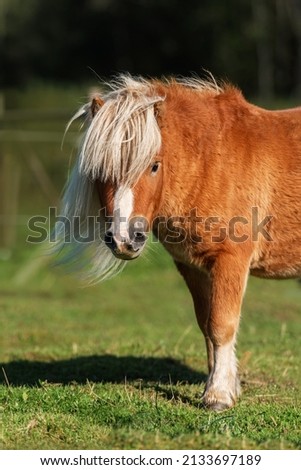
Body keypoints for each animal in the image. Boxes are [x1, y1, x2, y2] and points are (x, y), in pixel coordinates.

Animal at [55, 73, 300, 412]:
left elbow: (222, 325)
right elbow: (206, 326)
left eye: (154, 165)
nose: (124, 239)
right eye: (100, 171)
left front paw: (218, 395)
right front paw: (223, 384)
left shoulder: (231, 261)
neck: (212, 162)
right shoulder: (193, 267)